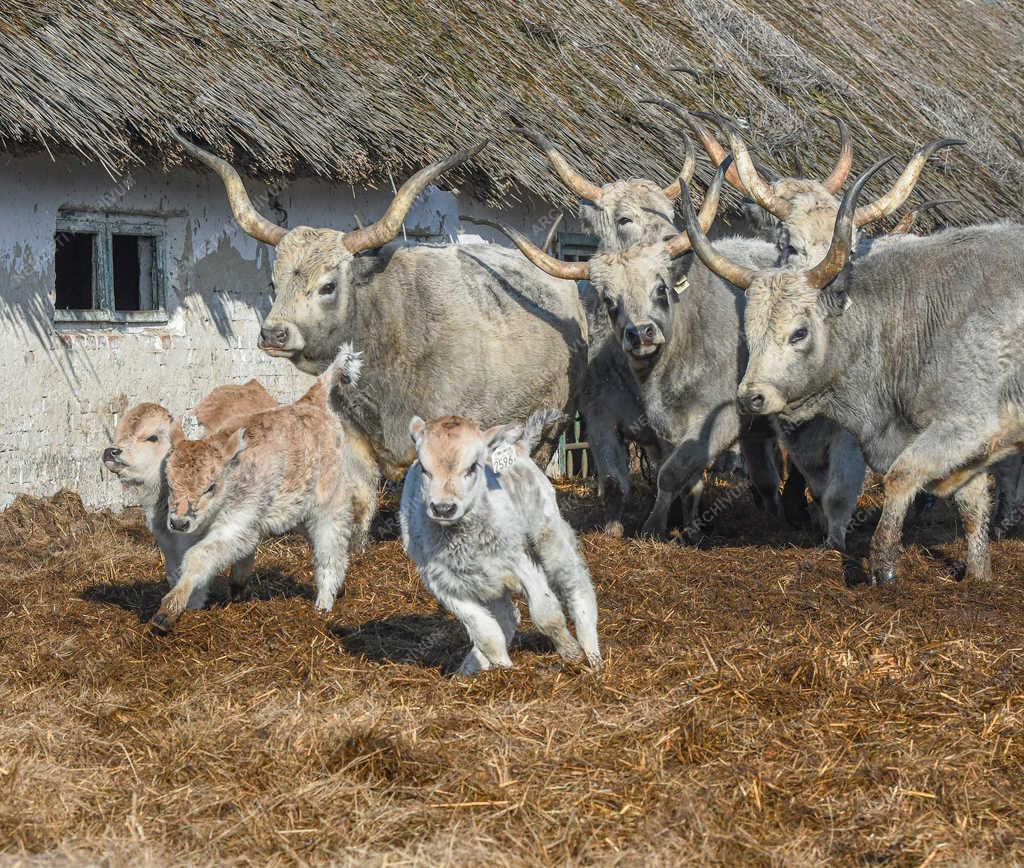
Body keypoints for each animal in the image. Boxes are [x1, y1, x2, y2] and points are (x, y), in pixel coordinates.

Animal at [397, 409, 598, 675]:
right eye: (423, 468)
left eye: (473, 466)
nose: (443, 508)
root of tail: (519, 446)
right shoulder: (441, 581)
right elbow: (486, 633)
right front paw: (503, 668)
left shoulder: (521, 561)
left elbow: (546, 614)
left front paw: (572, 653)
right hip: (488, 581)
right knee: (508, 616)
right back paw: (471, 668)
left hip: (547, 531)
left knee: (575, 582)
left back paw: (592, 654)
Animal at [479, 156, 782, 536]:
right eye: (624, 218)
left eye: (670, 212)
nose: (641, 333)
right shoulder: (601, 415)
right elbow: (613, 480)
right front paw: (614, 529)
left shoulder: (711, 418)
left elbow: (681, 476)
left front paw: (677, 527)